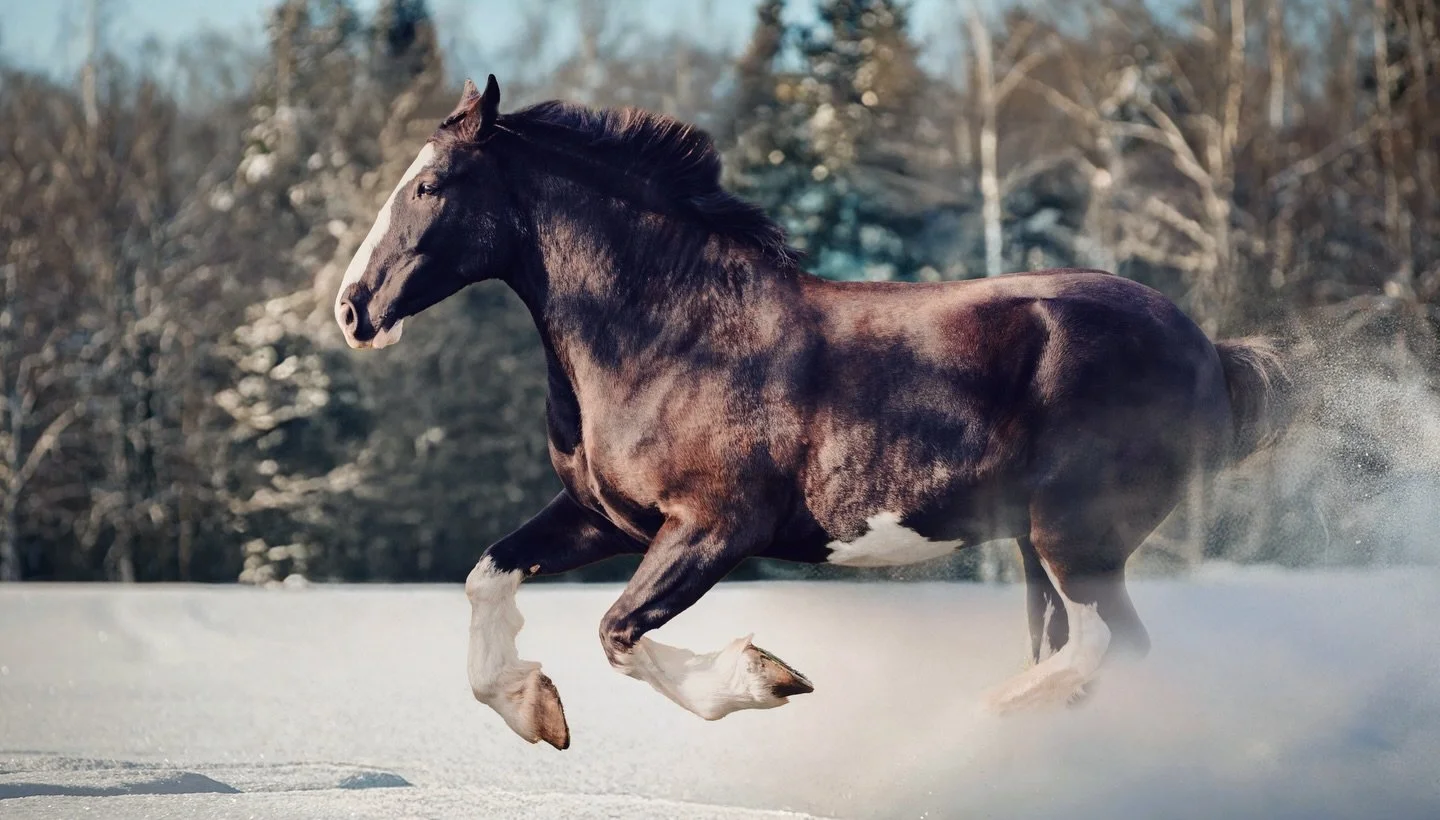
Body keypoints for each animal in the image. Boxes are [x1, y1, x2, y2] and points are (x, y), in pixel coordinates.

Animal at [333, 76, 1290, 750]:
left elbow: (619, 632)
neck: (670, 335)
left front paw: (764, 677)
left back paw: (965, 735)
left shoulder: (716, 528)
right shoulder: (605, 517)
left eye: (431, 186)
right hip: (1036, 546)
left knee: (1103, 649)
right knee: (1072, 654)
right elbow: (488, 577)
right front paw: (534, 708)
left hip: (1076, 538)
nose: (352, 308)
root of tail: (1210, 350)